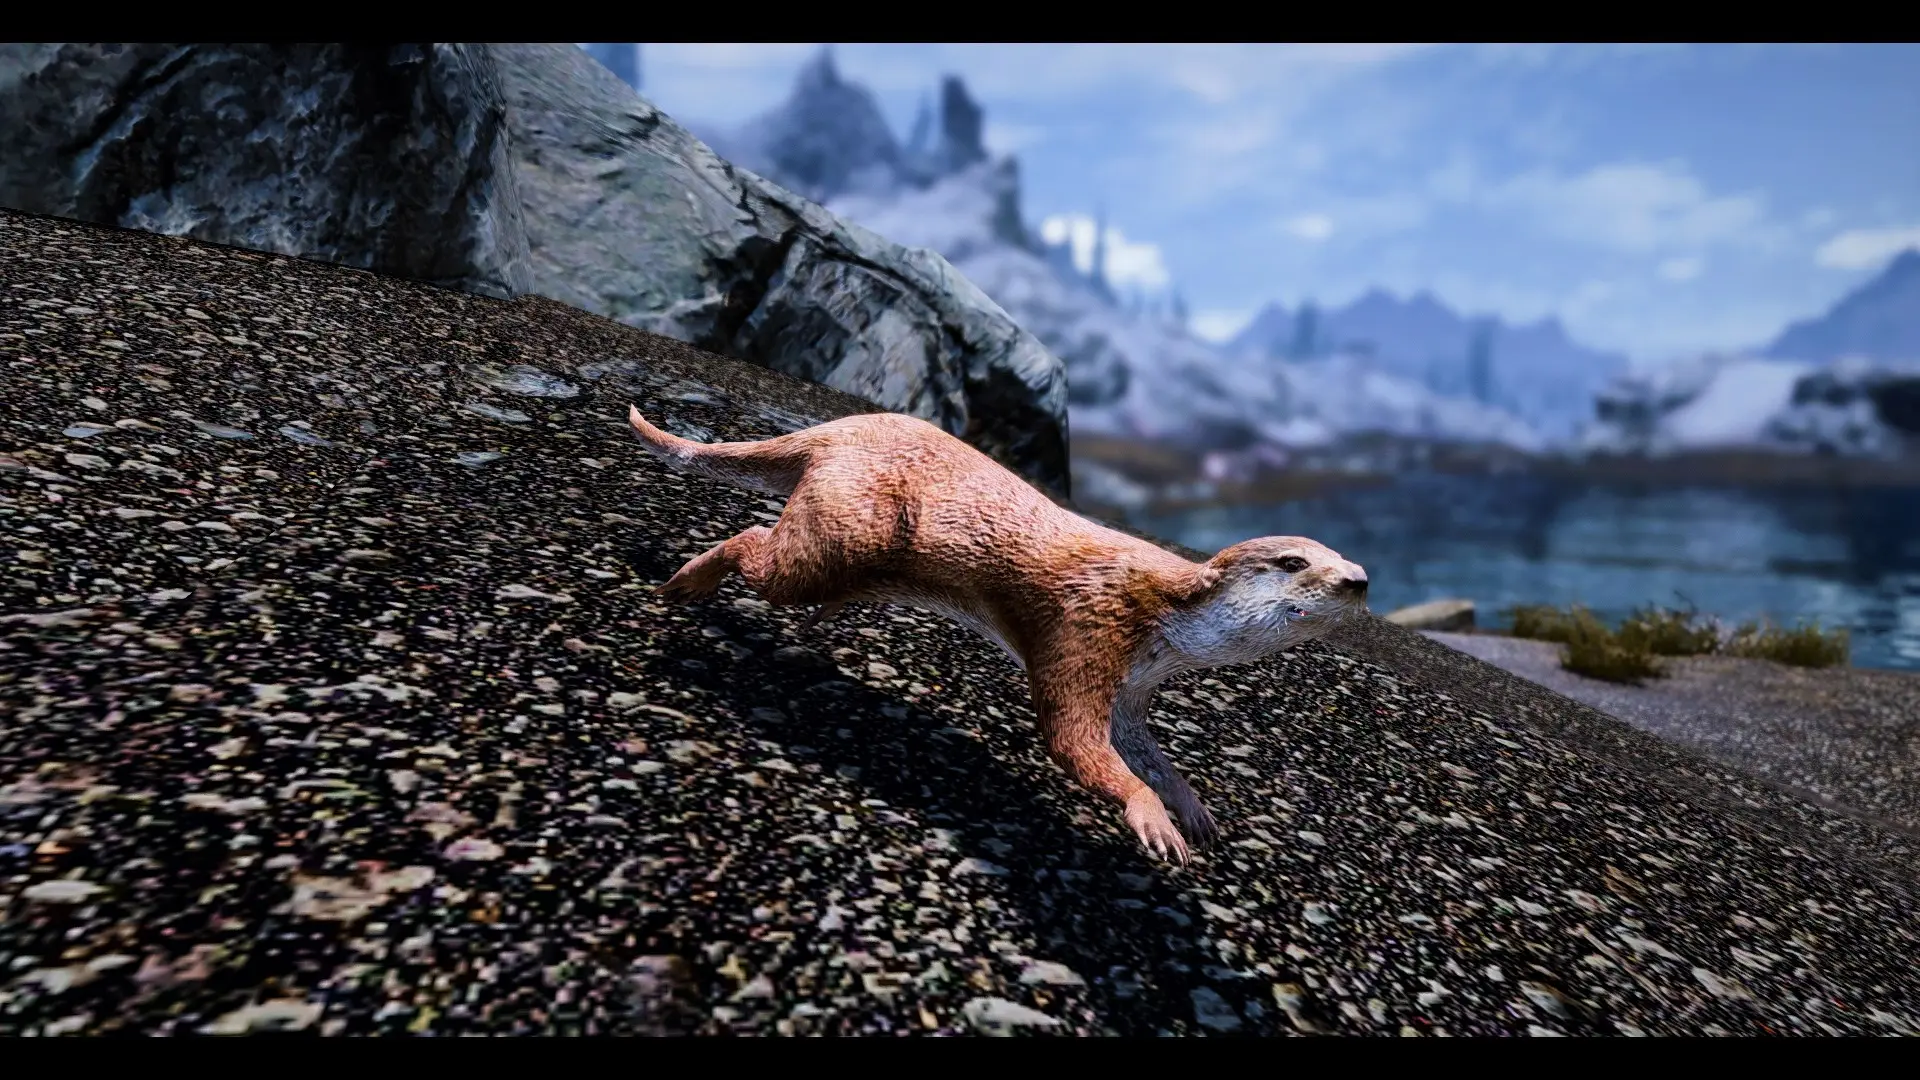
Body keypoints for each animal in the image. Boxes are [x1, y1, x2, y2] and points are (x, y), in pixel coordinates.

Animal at [627, 406, 1370, 864]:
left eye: (1341, 555)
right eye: (1295, 562)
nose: (1359, 578)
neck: (1162, 612)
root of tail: (839, 429)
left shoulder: (1133, 685)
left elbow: (1141, 746)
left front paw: (1190, 806)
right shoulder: (1090, 629)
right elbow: (1072, 739)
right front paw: (1151, 818)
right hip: (849, 524)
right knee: (758, 543)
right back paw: (685, 583)